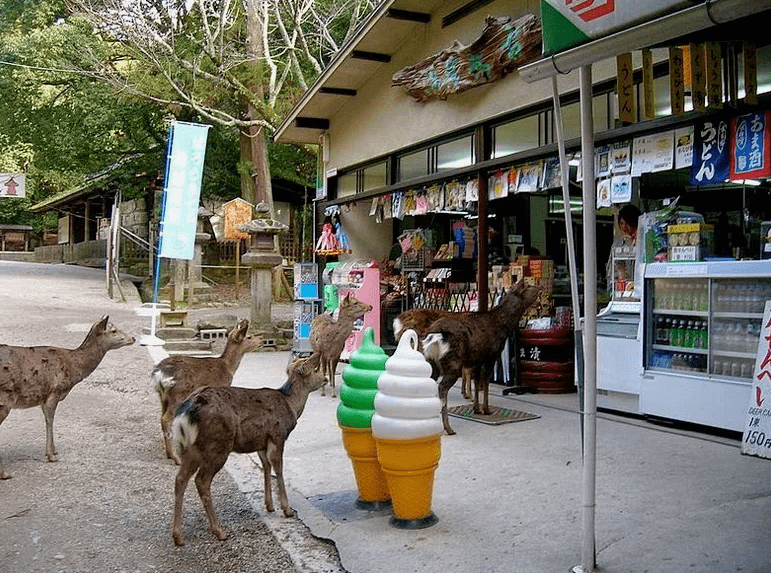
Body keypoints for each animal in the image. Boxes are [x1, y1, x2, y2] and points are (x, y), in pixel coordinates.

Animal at [0, 312, 134, 478]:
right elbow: (50, 419)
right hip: (5, 397)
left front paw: (53, 451)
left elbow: (48, 419)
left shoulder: (43, 397)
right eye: (114, 330)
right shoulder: (55, 390)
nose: (133, 338)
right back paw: (4, 473)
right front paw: (51, 455)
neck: (74, 366)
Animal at [152, 320, 264, 462]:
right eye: (249, 336)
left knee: (161, 417)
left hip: (163, 396)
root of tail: (159, 373)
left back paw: (169, 453)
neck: (228, 368)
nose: (262, 339)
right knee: (166, 419)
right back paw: (175, 457)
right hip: (177, 394)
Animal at [170, 354, 324, 544]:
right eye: (316, 368)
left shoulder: (261, 443)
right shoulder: (277, 435)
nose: (326, 378)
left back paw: (178, 536)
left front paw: (269, 505)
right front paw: (286, 509)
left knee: (180, 479)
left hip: (191, 449)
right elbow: (278, 469)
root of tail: (185, 413)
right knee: (201, 480)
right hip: (218, 445)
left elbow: (266, 467)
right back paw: (219, 531)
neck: (291, 405)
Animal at [420, 280, 540, 434]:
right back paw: (448, 428)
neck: (504, 325)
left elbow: (477, 382)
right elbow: (486, 383)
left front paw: (476, 408)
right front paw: (487, 409)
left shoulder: (476, 360)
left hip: (430, 362)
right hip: (453, 362)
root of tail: (434, 336)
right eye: (528, 286)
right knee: (442, 388)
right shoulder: (491, 356)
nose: (541, 288)